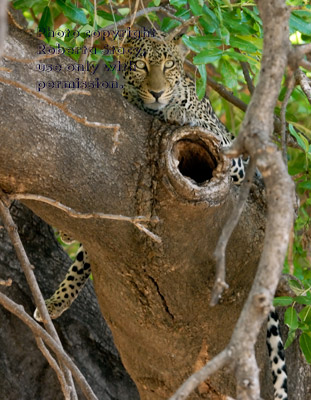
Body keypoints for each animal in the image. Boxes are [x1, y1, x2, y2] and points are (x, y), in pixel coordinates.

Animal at [33, 32, 288, 400]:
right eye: (141, 65)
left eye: (168, 66)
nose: (156, 92)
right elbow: (80, 261)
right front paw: (56, 298)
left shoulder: (234, 157)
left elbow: (198, 121)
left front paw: (175, 110)